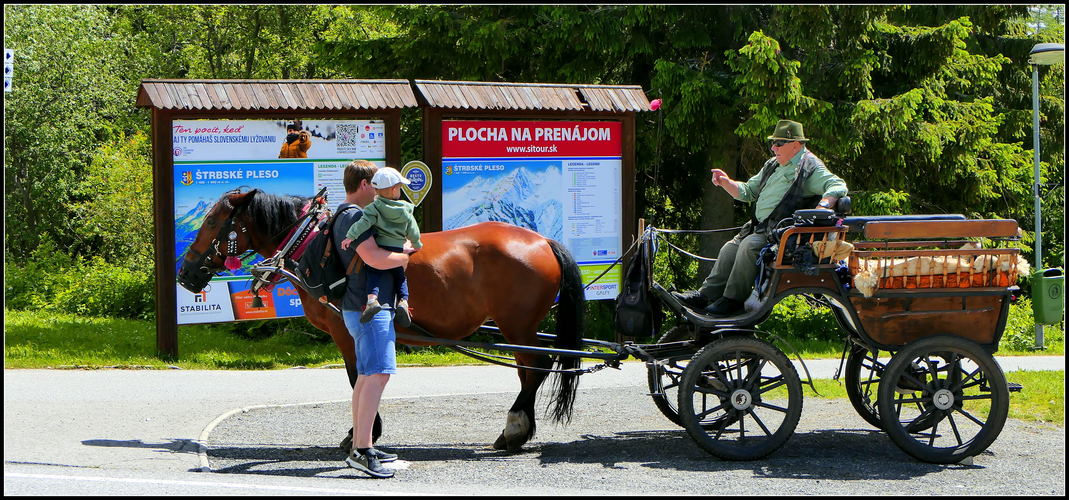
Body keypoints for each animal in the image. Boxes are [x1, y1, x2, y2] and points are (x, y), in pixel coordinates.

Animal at [176, 188, 585, 452]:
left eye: (211, 221)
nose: (186, 273)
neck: (312, 244)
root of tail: (543, 240)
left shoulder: (346, 330)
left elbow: (357, 376)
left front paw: (363, 432)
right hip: (519, 327)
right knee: (530, 370)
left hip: (517, 325)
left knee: (537, 367)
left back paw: (514, 428)